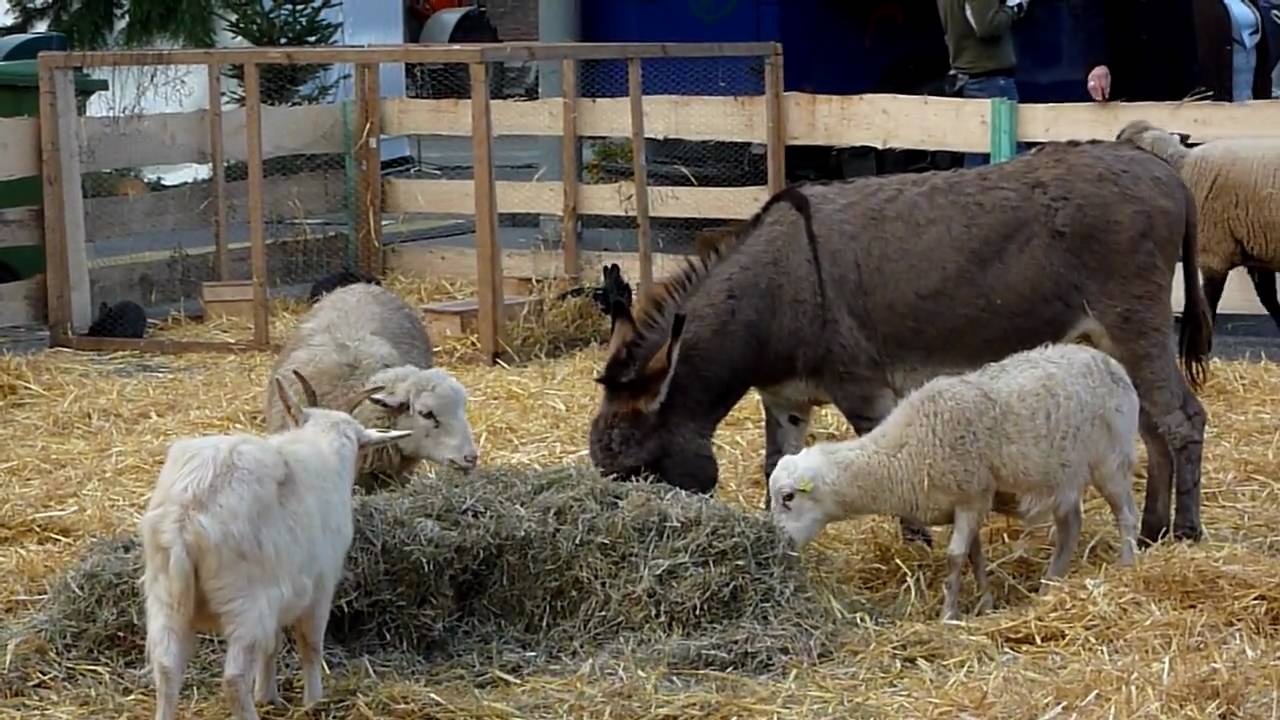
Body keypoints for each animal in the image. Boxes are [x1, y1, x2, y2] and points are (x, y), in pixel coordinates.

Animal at [142, 370, 412, 720]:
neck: (319, 447)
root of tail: (186, 517)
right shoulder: (320, 587)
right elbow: (310, 645)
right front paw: (313, 701)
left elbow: (271, 645)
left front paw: (268, 694)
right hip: (245, 603)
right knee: (233, 678)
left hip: (165, 597)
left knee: (166, 668)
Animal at [767, 342, 1141, 622]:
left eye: (788, 497)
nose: (778, 548)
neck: (901, 455)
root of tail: (1109, 362)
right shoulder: (963, 505)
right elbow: (975, 556)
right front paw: (985, 603)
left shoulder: (972, 498)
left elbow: (955, 556)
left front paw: (949, 614)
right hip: (1062, 475)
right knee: (1070, 527)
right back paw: (1051, 585)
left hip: (1110, 460)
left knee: (1126, 515)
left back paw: (1126, 564)